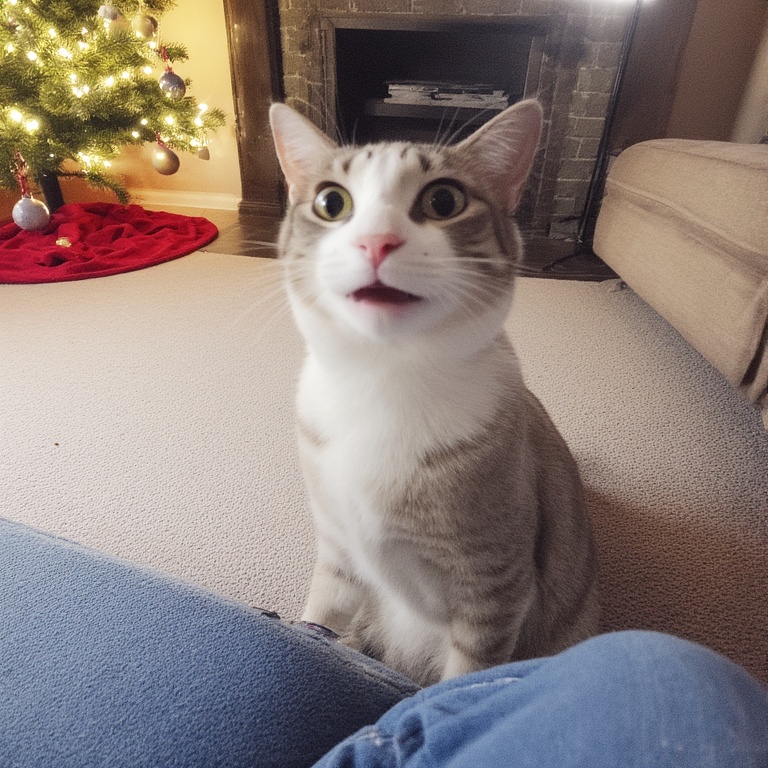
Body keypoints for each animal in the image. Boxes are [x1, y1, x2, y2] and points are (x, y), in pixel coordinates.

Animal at [269, 99, 599, 687]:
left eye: (444, 200)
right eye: (332, 202)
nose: (376, 241)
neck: (381, 382)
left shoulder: (496, 584)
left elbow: (467, 672)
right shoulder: (337, 544)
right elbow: (321, 612)